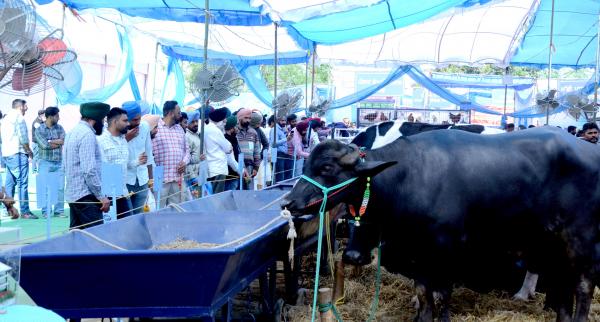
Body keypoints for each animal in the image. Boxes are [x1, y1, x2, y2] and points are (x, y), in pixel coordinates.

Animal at [284, 128, 600, 322]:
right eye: (307, 165)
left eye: (327, 168)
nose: (288, 201)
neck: (411, 176)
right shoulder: (418, 254)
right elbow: (424, 293)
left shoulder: (446, 250)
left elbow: (442, 293)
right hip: (552, 245)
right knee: (562, 284)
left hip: (581, 239)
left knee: (584, 284)